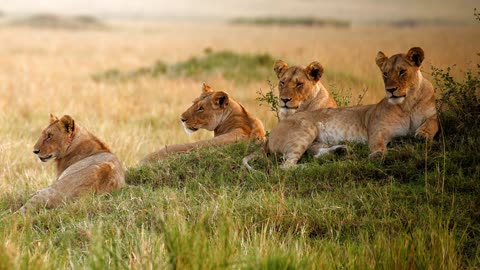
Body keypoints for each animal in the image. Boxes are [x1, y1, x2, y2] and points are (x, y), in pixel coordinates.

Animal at [246, 47, 436, 169]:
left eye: (402, 72)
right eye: (282, 83)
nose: (284, 100)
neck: (407, 103)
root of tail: (270, 136)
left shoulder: (432, 116)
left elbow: (432, 124)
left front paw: (422, 135)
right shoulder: (376, 129)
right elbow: (377, 143)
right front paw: (377, 155)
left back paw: (340, 151)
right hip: (305, 130)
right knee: (287, 165)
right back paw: (312, 166)